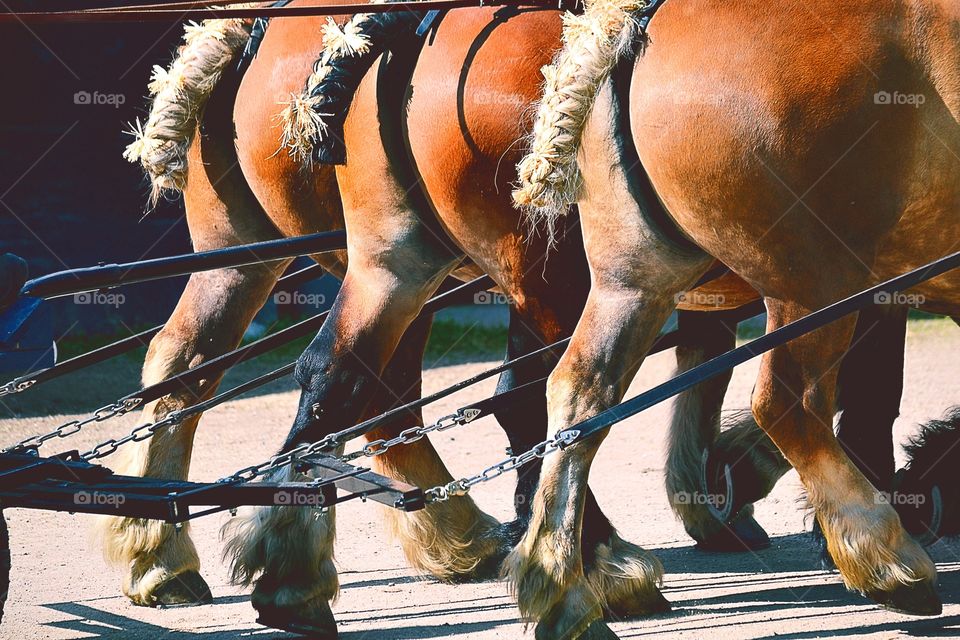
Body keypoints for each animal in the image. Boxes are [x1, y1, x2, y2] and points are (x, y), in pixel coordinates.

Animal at [502, 0, 960, 636]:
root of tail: (636, 20)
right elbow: (871, 393)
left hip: (635, 282)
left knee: (579, 397)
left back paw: (562, 586)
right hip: (816, 282)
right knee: (788, 403)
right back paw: (884, 557)